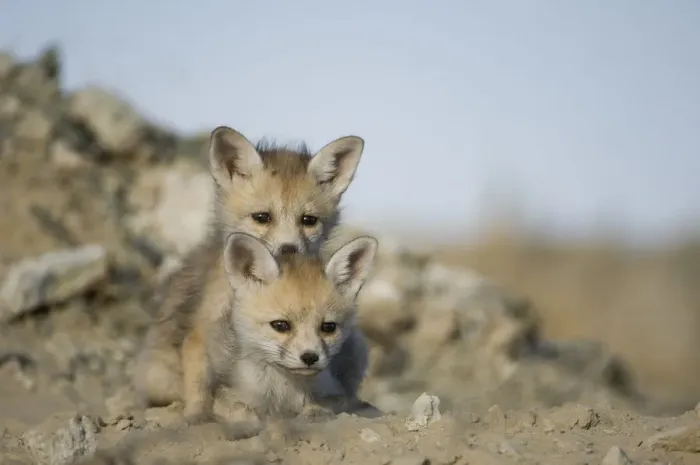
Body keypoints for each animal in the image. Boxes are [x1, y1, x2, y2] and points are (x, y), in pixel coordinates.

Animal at [132, 126, 366, 421]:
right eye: (262, 217)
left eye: (308, 220)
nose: (288, 249)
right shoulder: (203, 328)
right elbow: (200, 386)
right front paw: (197, 417)